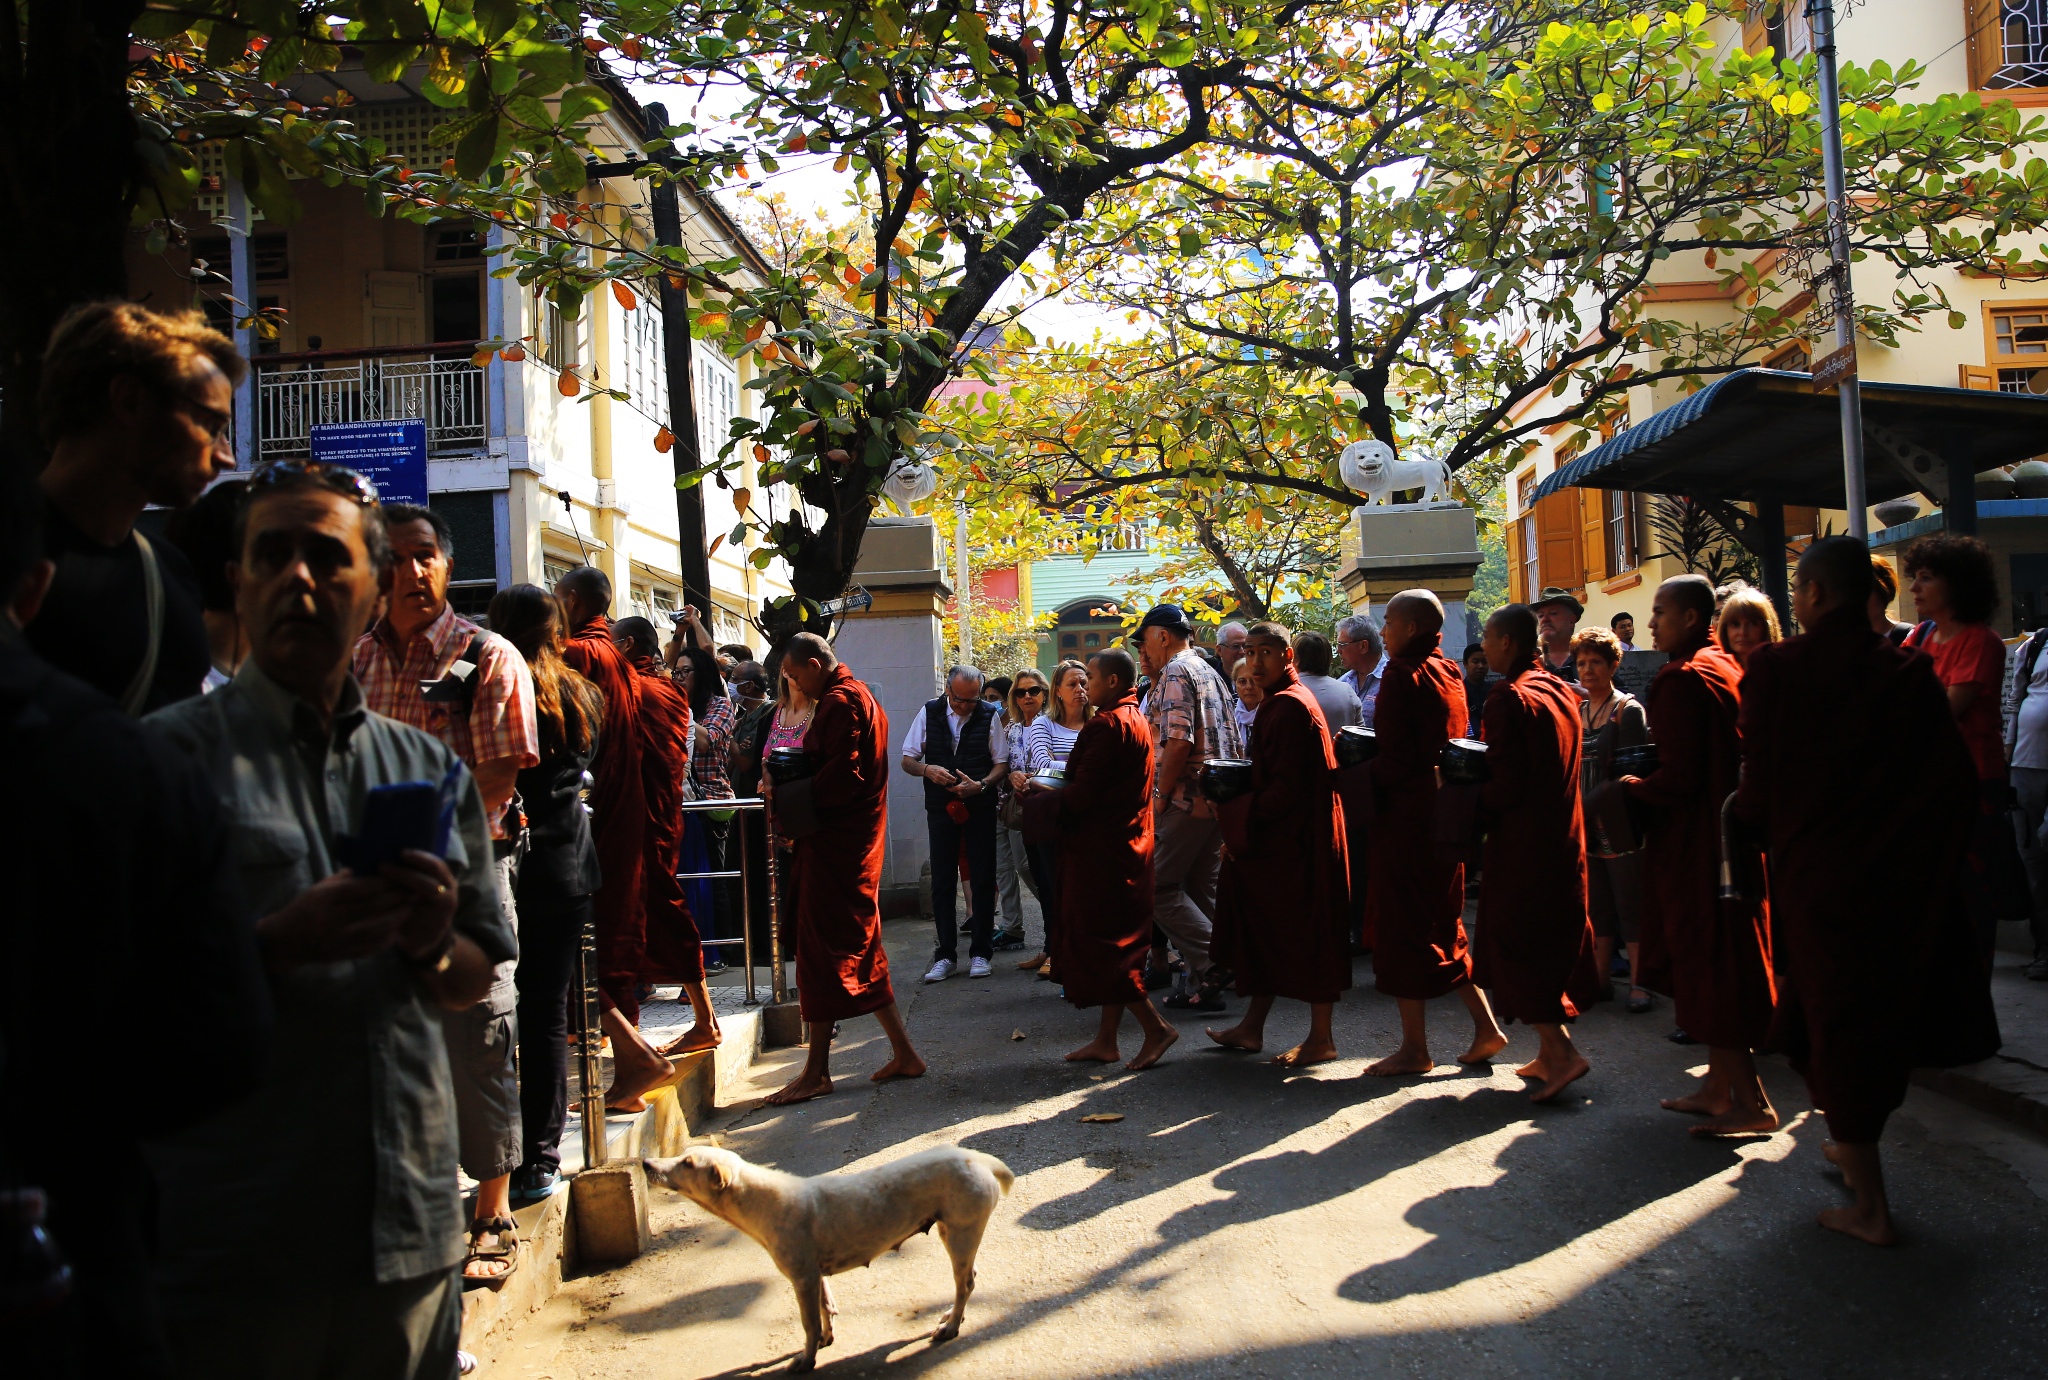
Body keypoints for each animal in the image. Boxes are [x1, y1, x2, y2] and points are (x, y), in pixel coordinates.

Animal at [647, 1138, 1015, 1367]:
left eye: (687, 1162)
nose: (646, 1162)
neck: (758, 1201)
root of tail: (978, 1158)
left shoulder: (802, 1278)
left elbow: (808, 1322)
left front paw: (805, 1360)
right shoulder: (816, 1275)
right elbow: (826, 1309)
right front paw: (827, 1338)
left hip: (961, 1233)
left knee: (964, 1283)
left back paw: (950, 1327)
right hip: (952, 1232)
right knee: (969, 1279)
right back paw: (953, 1316)